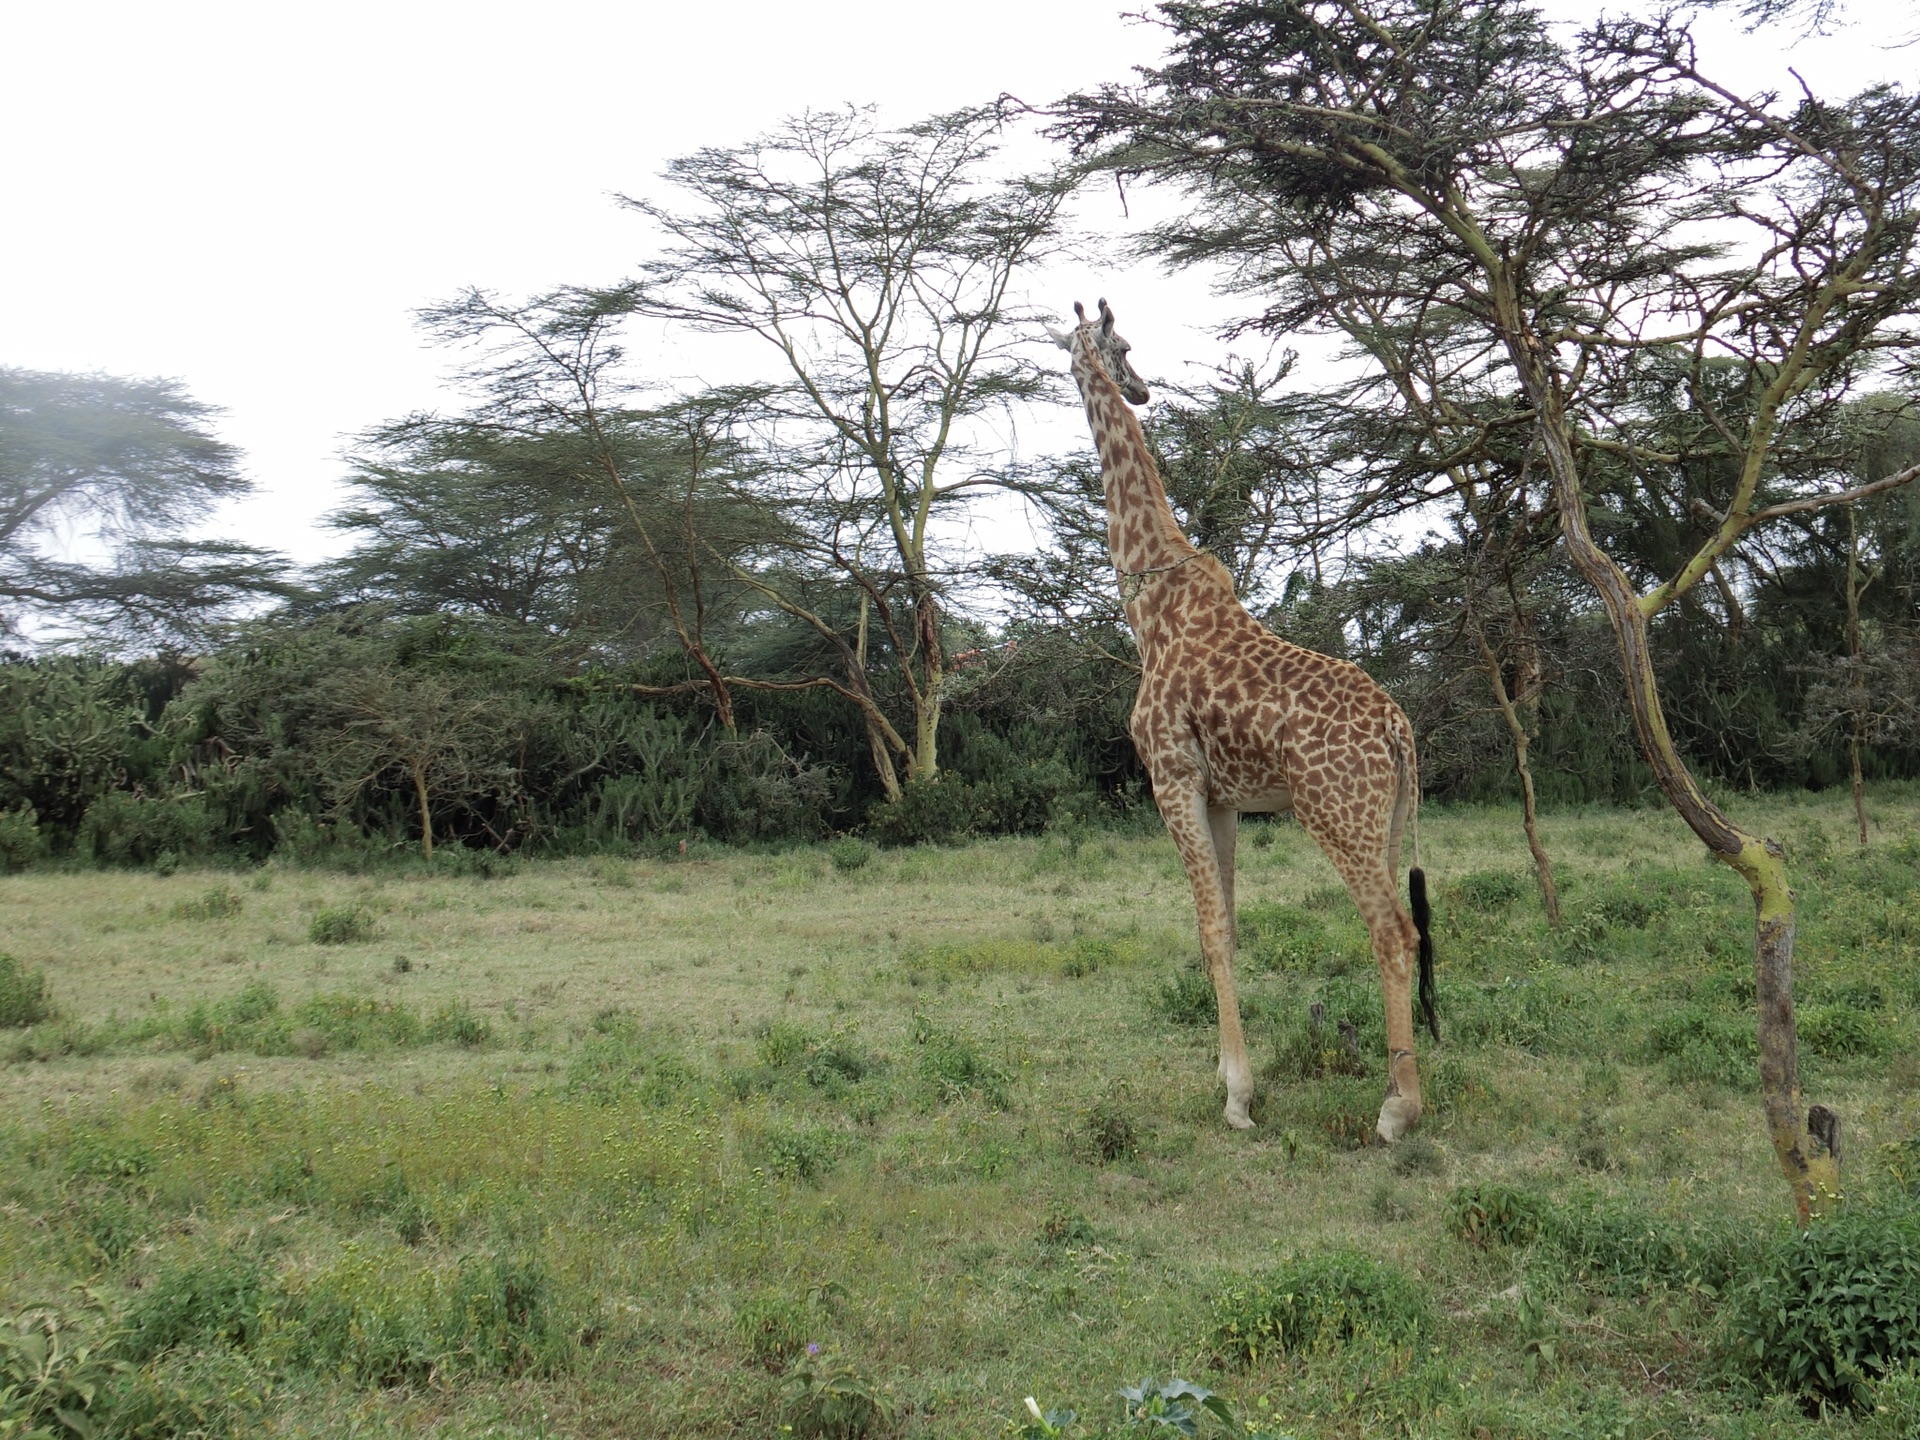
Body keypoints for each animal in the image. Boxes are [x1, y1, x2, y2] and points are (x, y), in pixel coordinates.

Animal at [1052, 299, 1443, 1144]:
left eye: (1121, 344)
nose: (1140, 388)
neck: (1150, 608)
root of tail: (1399, 731)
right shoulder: (1224, 796)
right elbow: (1228, 926)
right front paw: (1232, 1077)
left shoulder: (1170, 778)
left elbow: (1205, 930)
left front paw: (1238, 1097)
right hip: (1386, 817)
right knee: (1410, 926)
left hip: (1333, 812)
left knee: (1391, 931)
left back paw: (1397, 1109)